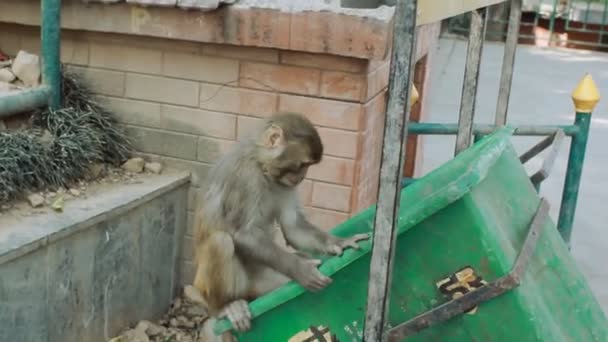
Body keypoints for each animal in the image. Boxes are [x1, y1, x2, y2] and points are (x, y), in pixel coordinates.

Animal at [192, 111, 368, 336]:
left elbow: (293, 227)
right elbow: (243, 234)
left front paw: (339, 242)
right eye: (303, 165)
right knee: (220, 241)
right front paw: (301, 270)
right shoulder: (246, 177)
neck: (260, 163)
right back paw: (226, 306)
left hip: (264, 284)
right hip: (212, 287)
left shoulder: (284, 184)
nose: (302, 177)